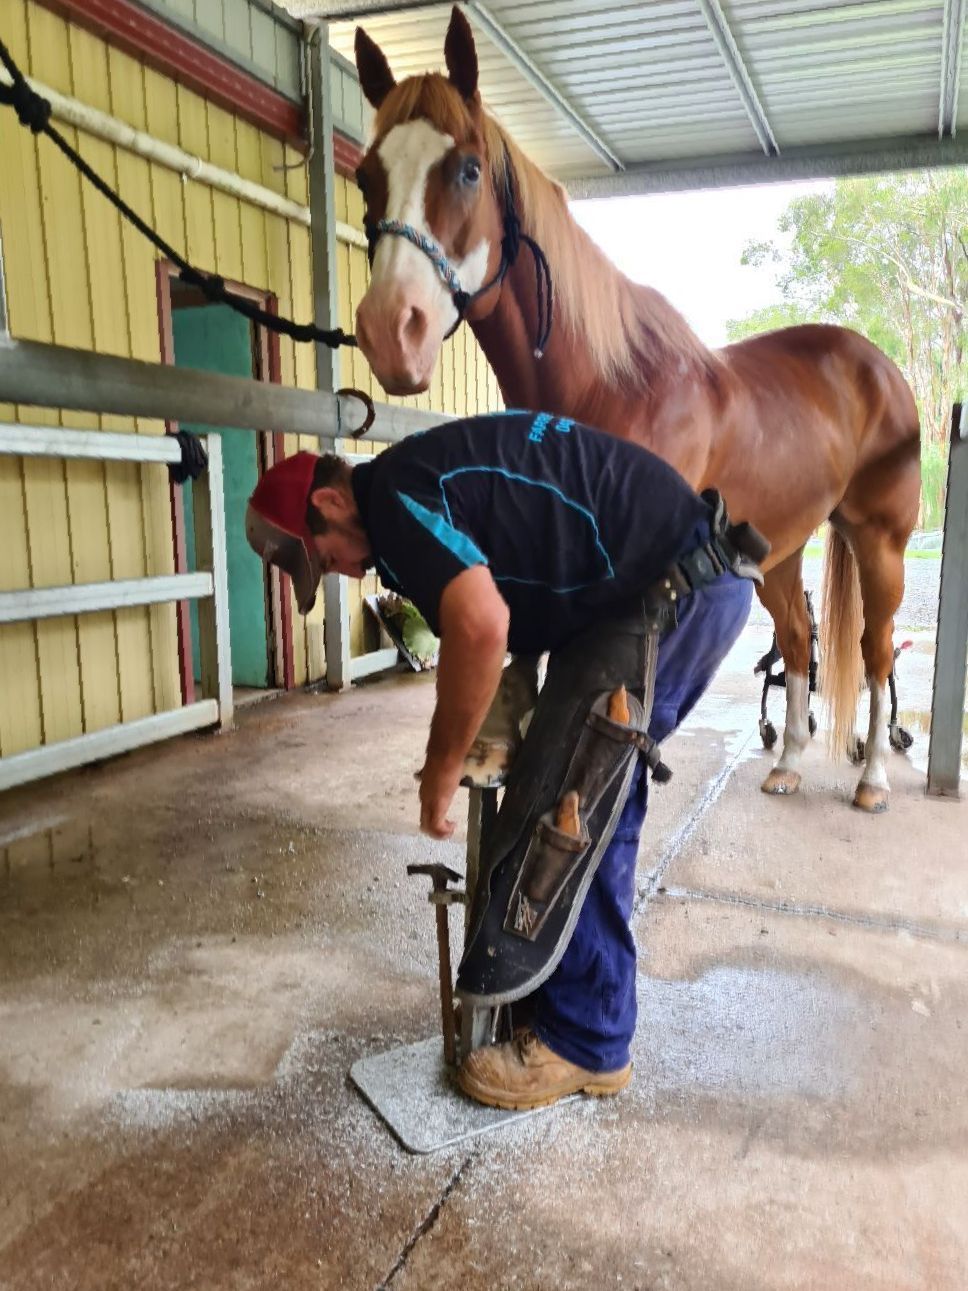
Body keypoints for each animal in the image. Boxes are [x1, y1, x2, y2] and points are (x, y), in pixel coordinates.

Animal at [351, 7, 921, 813]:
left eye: (466, 168)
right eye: (366, 174)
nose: (388, 330)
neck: (608, 381)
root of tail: (877, 365)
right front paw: (494, 743)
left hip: (882, 544)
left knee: (875, 654)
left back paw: (871, 779)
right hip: (782, 548)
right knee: (799, 640)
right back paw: (786, 763)